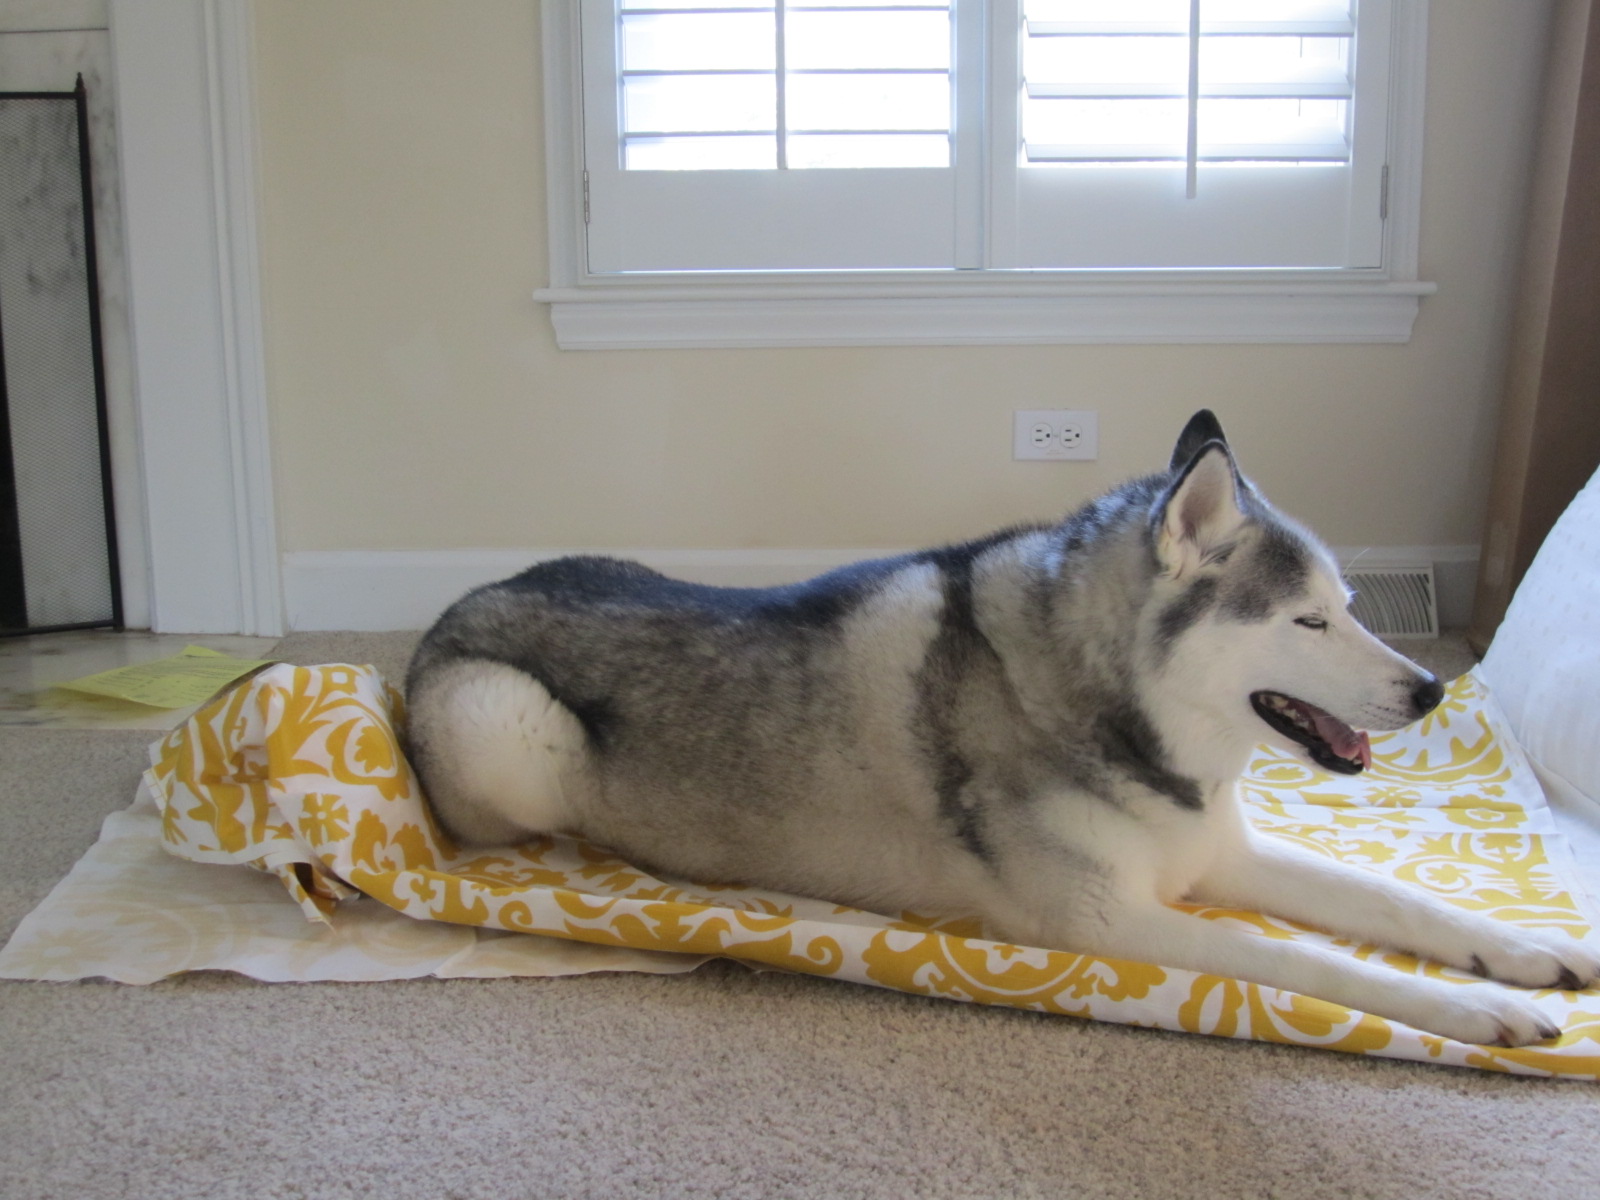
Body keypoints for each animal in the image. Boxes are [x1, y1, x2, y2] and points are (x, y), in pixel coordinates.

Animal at [409, 412, 1600, 1043]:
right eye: (1307, 620)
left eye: (1352, 605)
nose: (1429, 690)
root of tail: (448, 614)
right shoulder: (1111, 923)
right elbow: (1312, 961)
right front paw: (1473, 1011)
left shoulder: (1215, 858)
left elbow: (1395, 901)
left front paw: (1524, 952)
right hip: (512, 731)